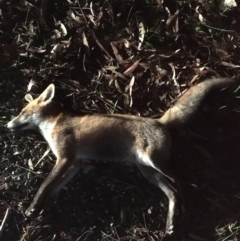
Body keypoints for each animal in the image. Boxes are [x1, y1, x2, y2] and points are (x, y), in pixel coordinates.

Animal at [6, 77, 237, 235]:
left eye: (23, 112)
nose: (7, 125)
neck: (54, 124)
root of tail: (159, 121)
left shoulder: (65, 157)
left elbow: (45, 184)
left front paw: (32, 208)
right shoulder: (76, 162)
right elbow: (57, 185)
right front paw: (48, 204)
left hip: (156, 163)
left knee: (180, 180)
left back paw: (183, 207)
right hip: (148, 172)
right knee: (171, 192)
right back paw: (171, 223)